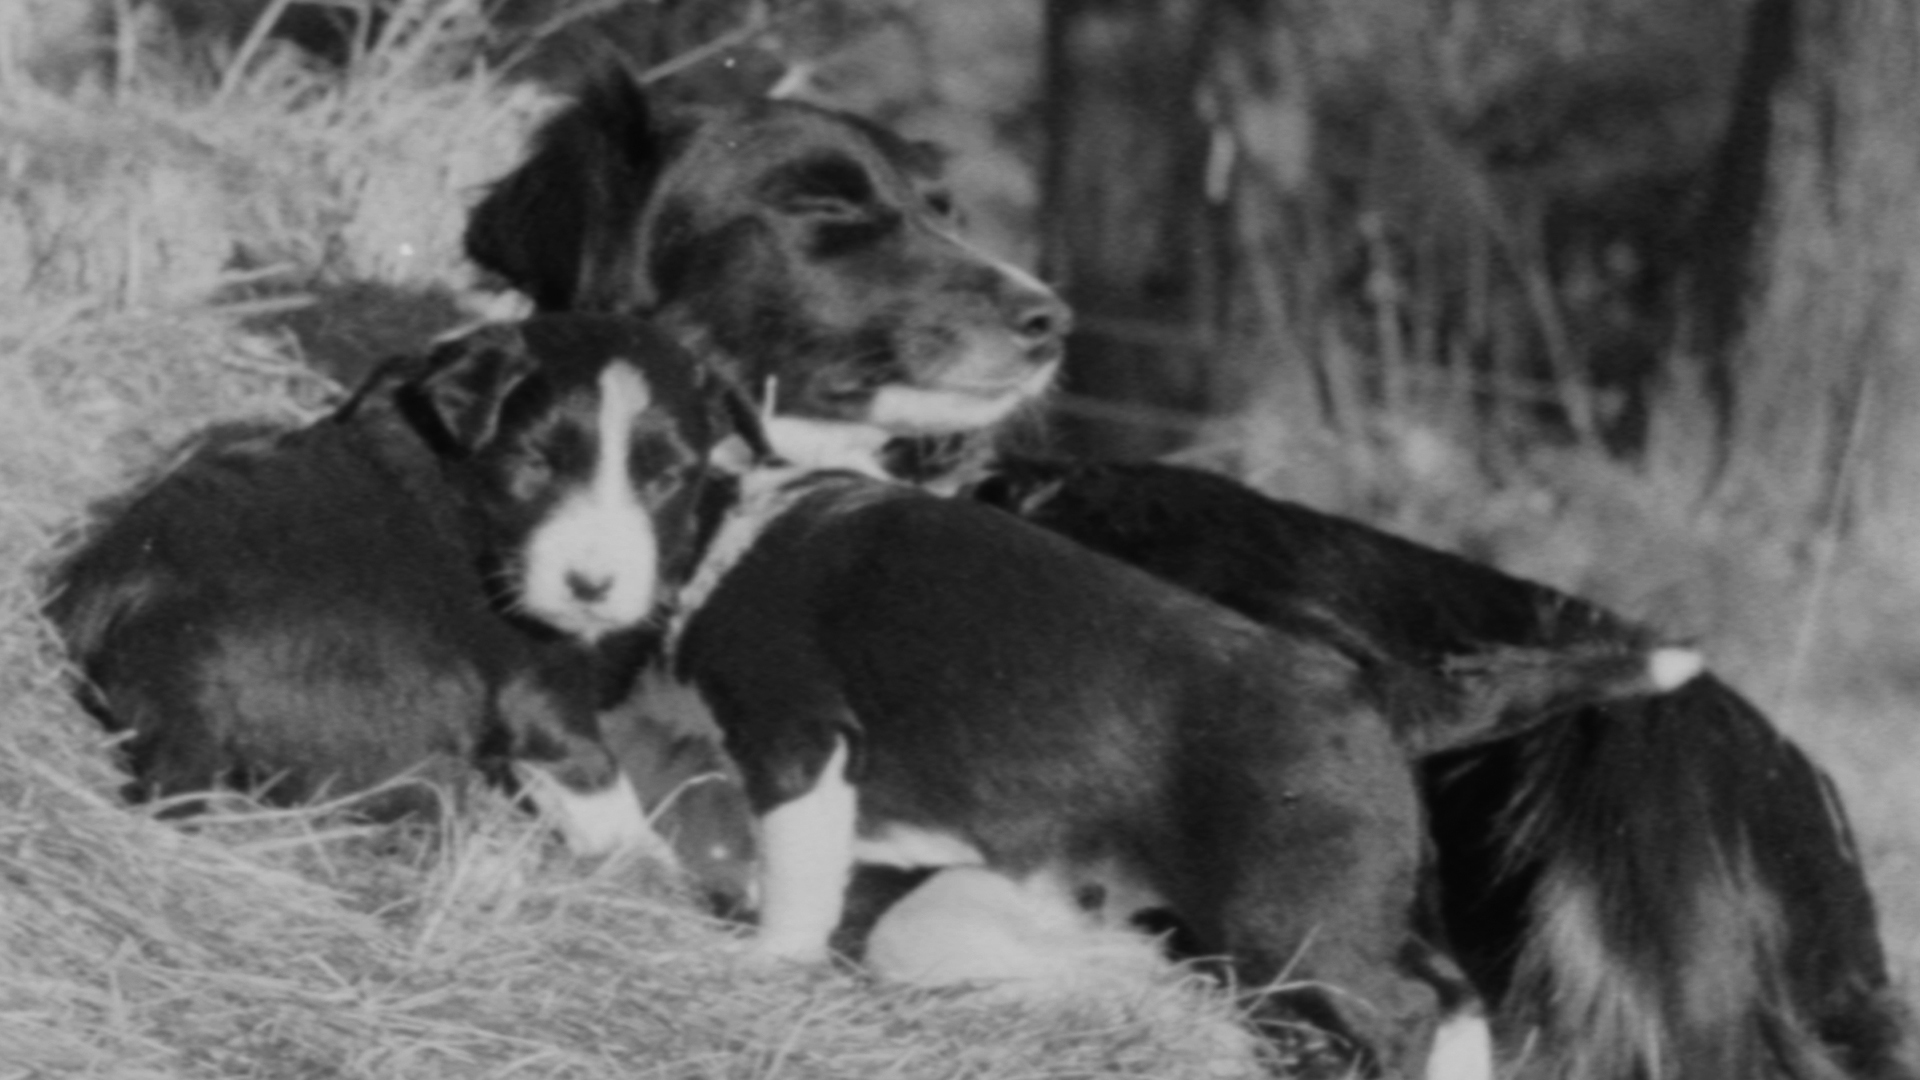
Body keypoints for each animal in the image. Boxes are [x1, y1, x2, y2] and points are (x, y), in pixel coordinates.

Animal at [46, 315, 759, 867]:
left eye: (665, 479)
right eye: (535, 464)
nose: (592, 585)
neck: (462, 478)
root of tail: (179, 687)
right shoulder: (536, 677)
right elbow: (592, 773)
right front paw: (653, 870)